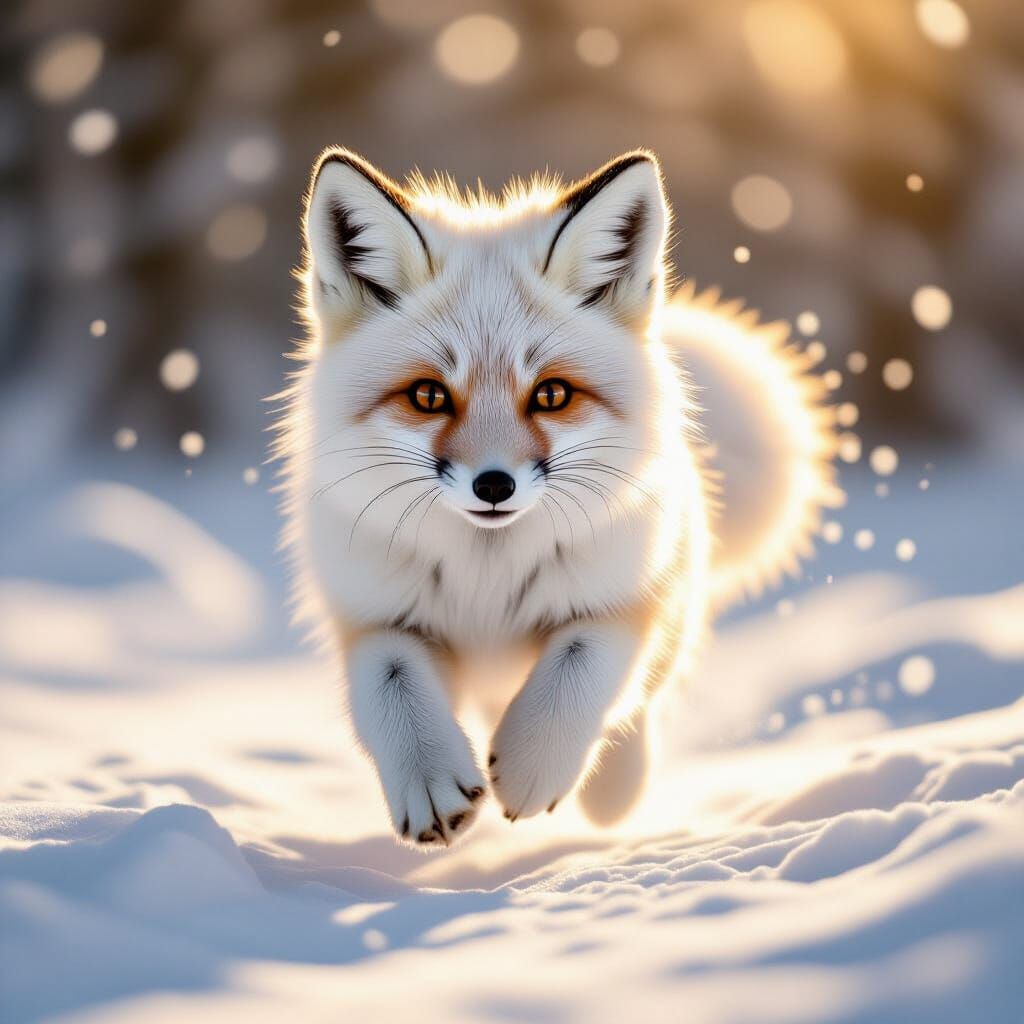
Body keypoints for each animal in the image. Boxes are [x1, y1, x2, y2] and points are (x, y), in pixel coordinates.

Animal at [275, 148, 838, 847]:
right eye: (429, 396)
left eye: (551, 395)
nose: (494, 485)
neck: (486, 579)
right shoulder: (372, 614)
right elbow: (391, 685)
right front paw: (428, 779)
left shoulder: (627, 595)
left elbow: (581, 666)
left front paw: (533, 767)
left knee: (643, 699)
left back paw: (616, 791)